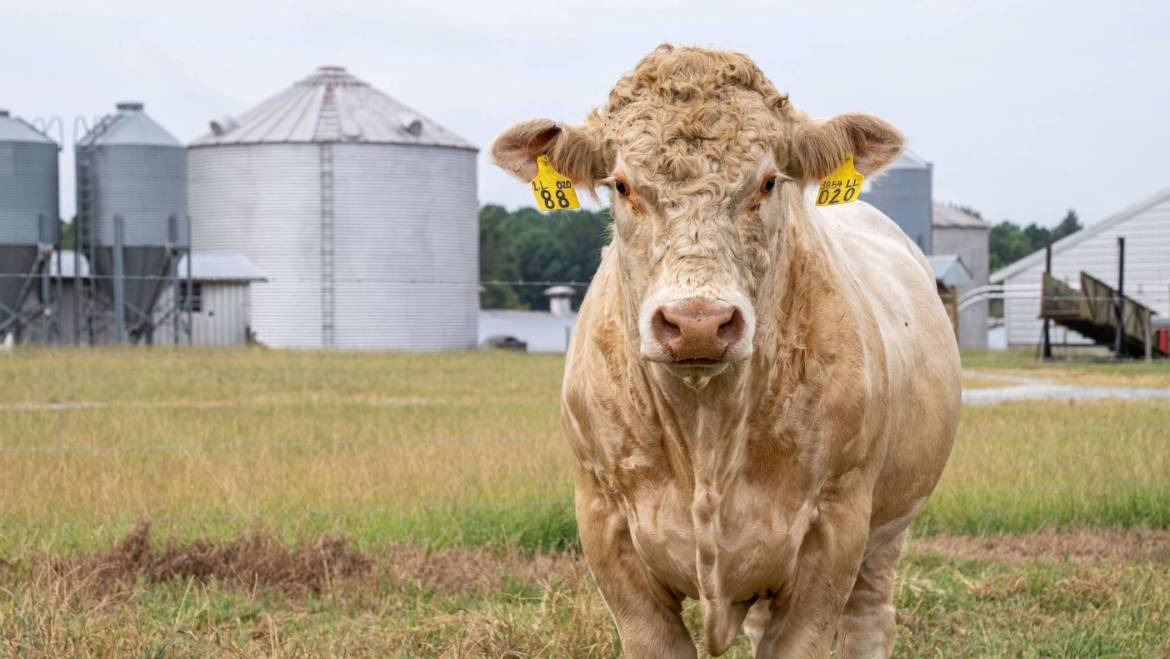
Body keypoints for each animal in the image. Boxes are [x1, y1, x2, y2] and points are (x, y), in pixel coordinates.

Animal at [493, 43, 959, 655]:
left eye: (768, 182)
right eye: (622, 185)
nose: (697, 324)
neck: (707, 430)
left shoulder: (835, 533)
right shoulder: (605, 529)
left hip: (887, 533)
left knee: (869, 620)